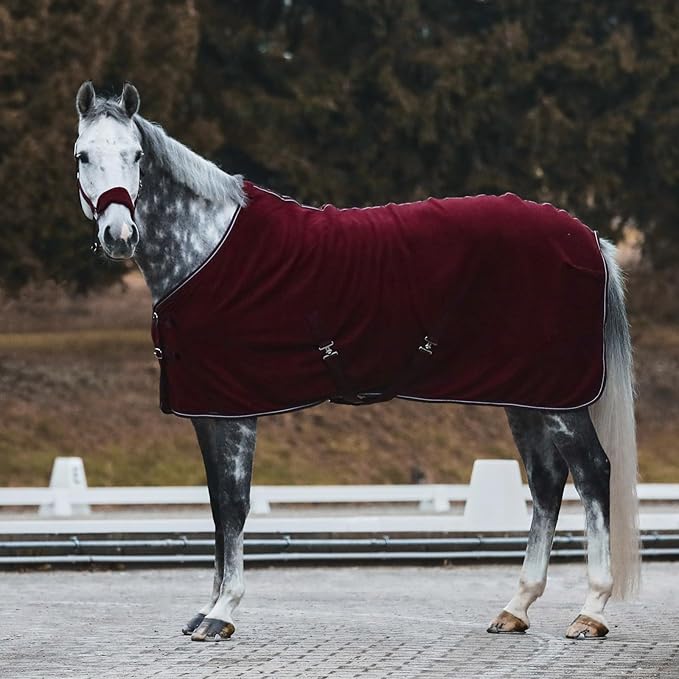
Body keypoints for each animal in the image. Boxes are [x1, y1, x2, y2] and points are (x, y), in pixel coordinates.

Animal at [73, 81, 639, 642]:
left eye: (136, 155)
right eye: (83, 156)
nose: (119, 235)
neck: (208, 249)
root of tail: (589, 238)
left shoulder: (235, 412)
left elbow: (234, 505)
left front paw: (223, 611)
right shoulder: (209, 412)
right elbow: (216, 506)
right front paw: (207, 607)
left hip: (561, 399)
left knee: (592, 472)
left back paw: (591, 611)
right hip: (526, 395)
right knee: (546, 481)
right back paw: (516, 606)